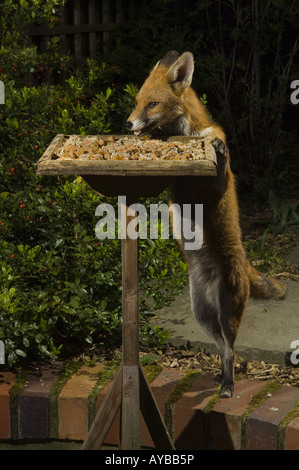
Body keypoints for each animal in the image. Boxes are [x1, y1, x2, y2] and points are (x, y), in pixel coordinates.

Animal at [127, 51, 288, 396]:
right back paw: (220, 377)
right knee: (222, 350)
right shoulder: (173, 181)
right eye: (137, 102)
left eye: (152, 104)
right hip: (202, 314)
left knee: (232, 351)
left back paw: (228, 384)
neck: (188, 133)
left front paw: (220, 151)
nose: (128, 123)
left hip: (228, 314)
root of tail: (245, 264)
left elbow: (221, 166)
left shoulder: (216, 185)